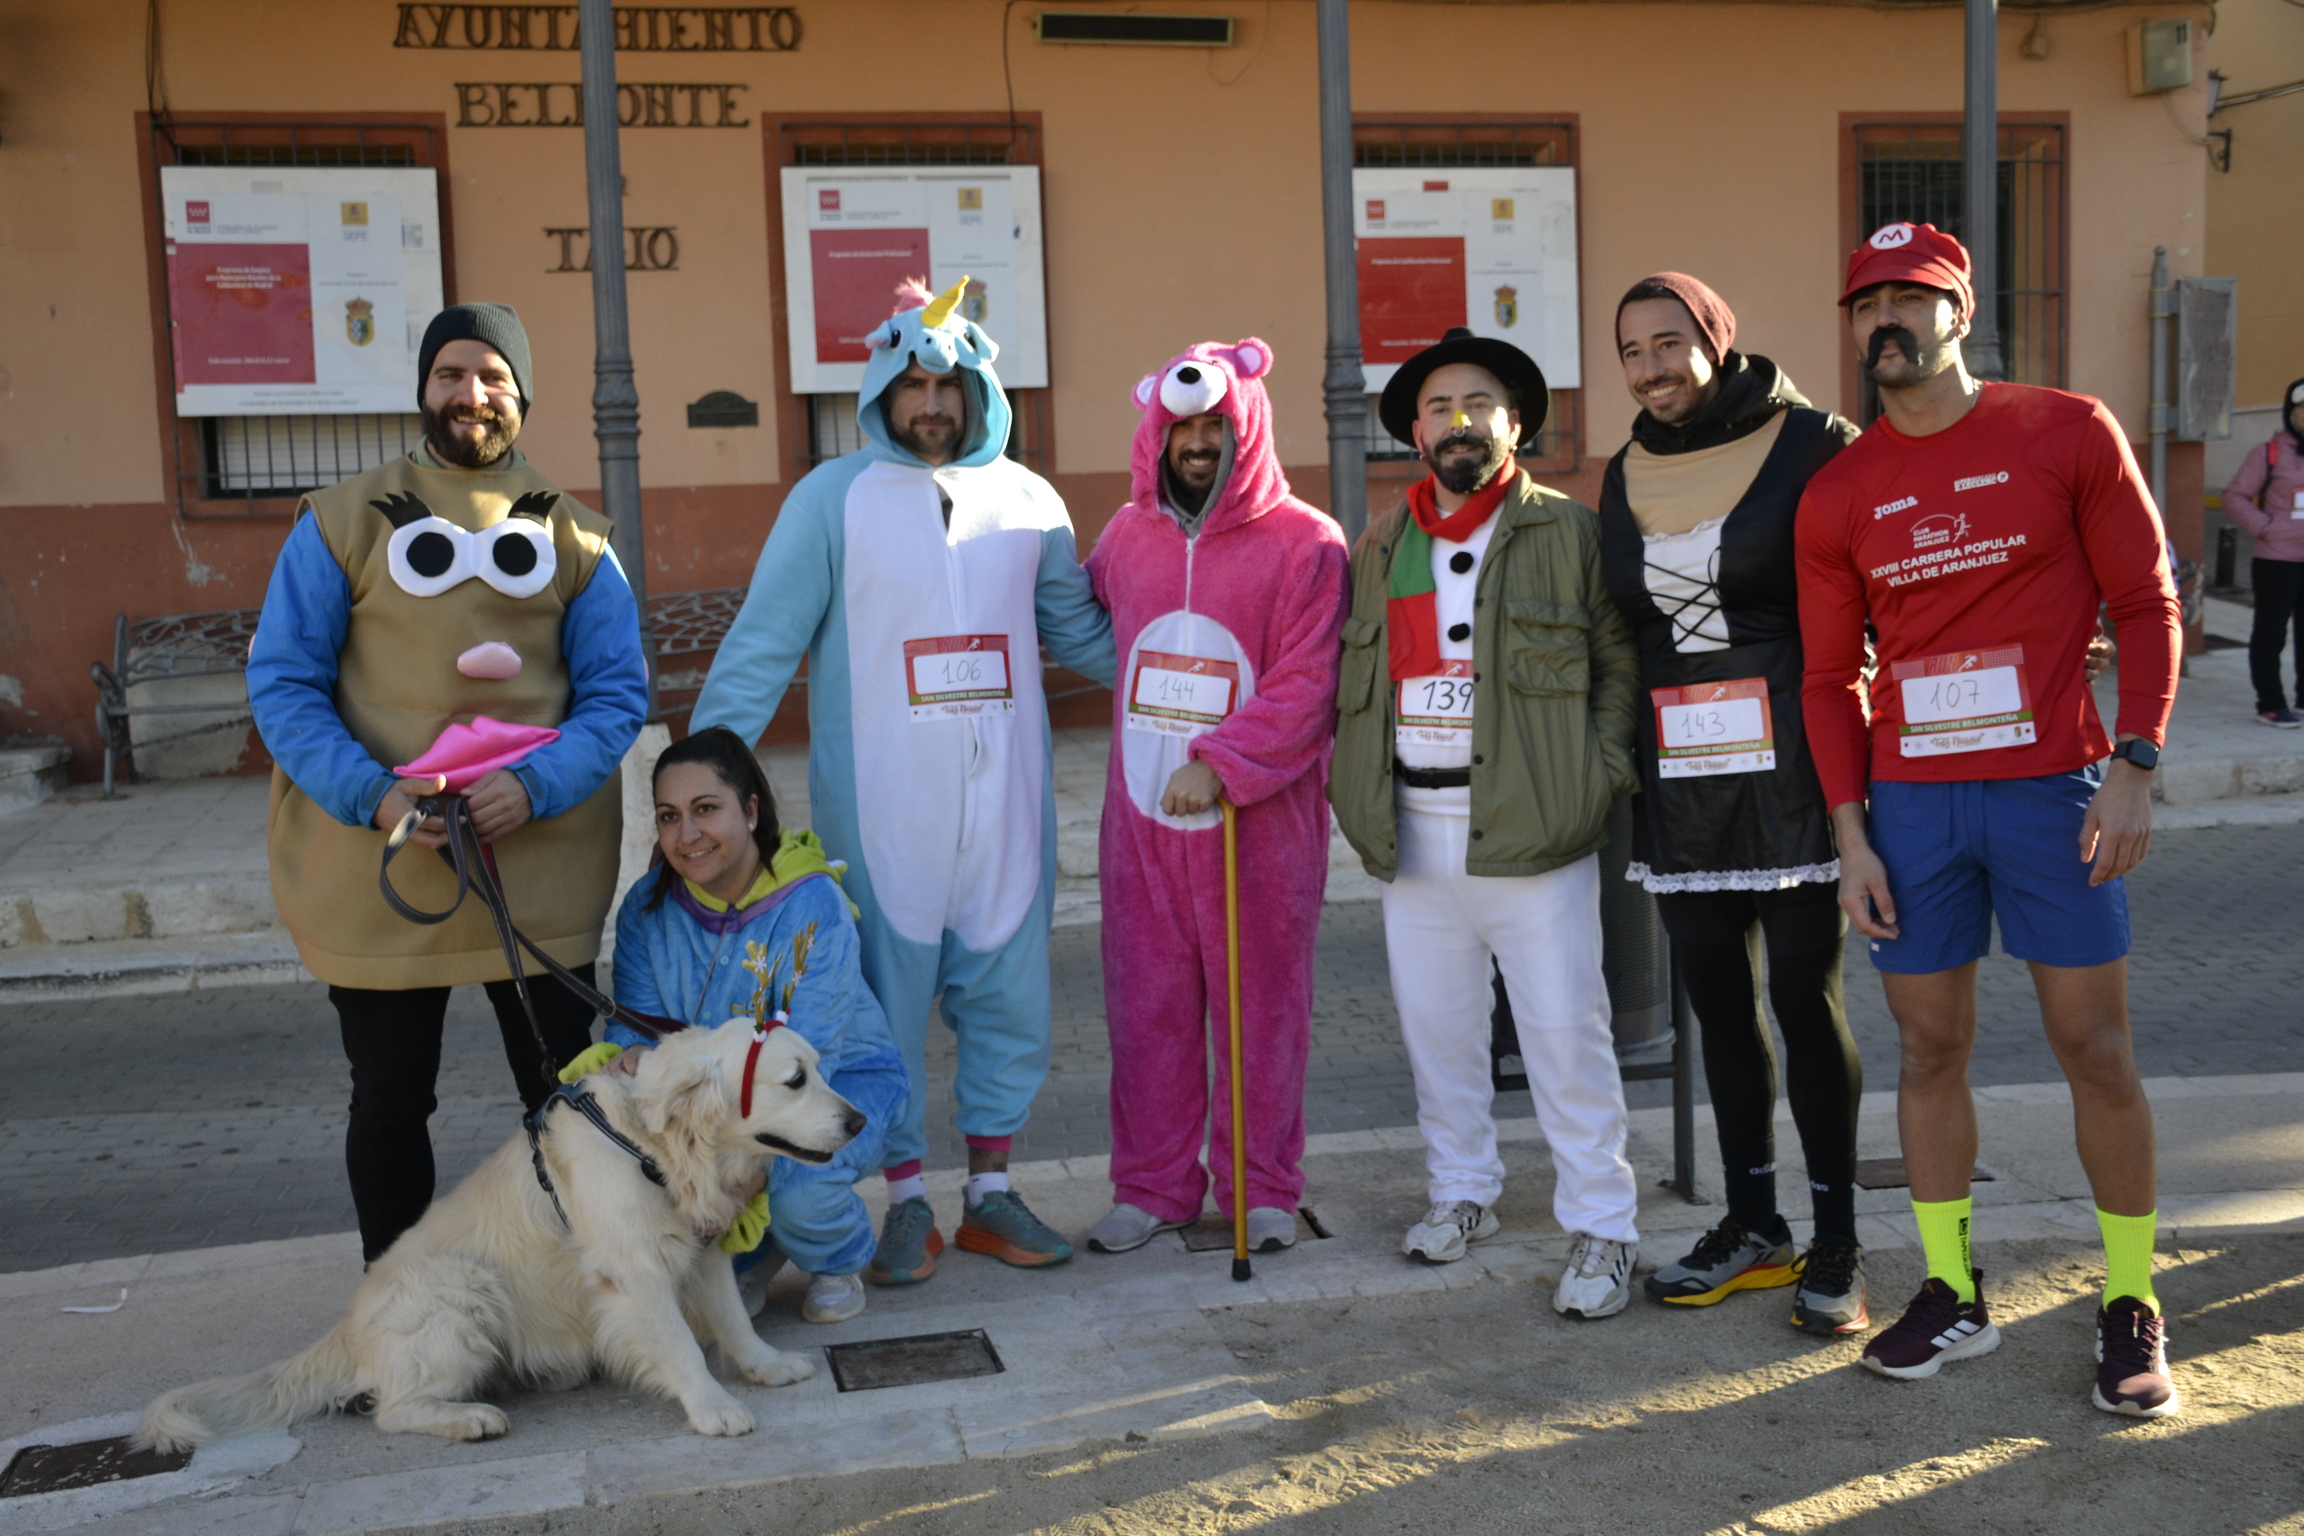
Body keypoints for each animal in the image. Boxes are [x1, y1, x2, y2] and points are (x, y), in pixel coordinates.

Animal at [136, 1022, 862, 1447]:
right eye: (794, 1080)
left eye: (820, 1069)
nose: (858, 1121)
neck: (652, 1145)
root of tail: (344, 1329)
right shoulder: (634, 1273)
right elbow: (681, 1346)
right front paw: (712, 1408)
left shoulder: (701, 1250)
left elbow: (735, 1320)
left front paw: (767, 1366)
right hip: (464, 1289)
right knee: (391, 1407)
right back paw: (468, 1418)